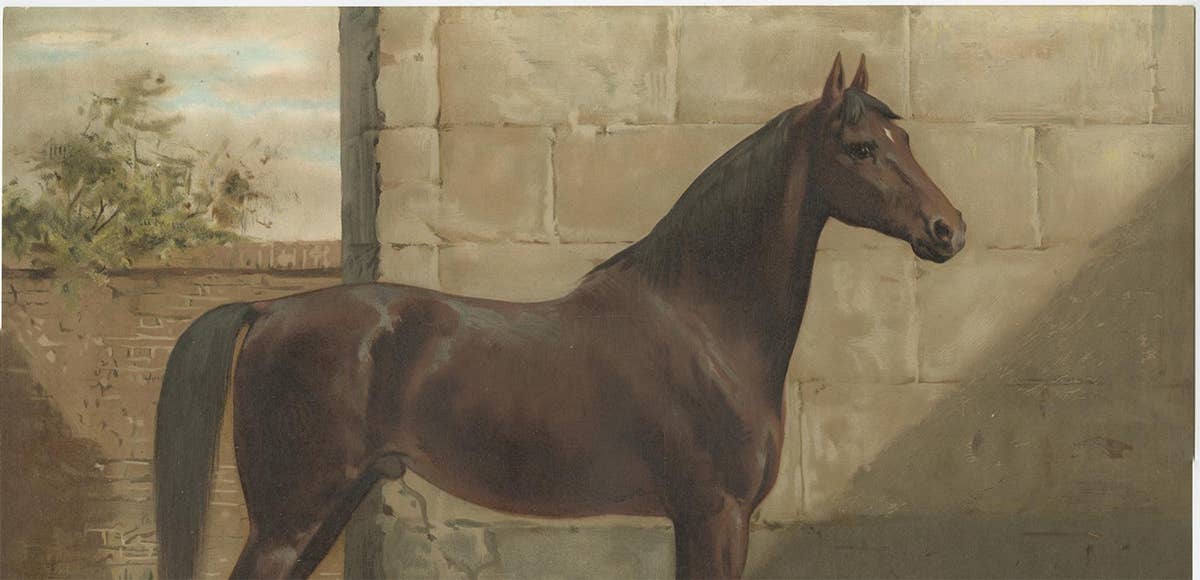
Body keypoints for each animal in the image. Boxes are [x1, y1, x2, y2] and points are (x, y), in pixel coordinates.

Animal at [154, 53, 965, 580]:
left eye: (904, 138)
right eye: (860, 148)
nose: (949, 229)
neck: (704, 324)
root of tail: (270, 309)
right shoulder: (714, 514)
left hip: (329, 507)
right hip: (290, 518)